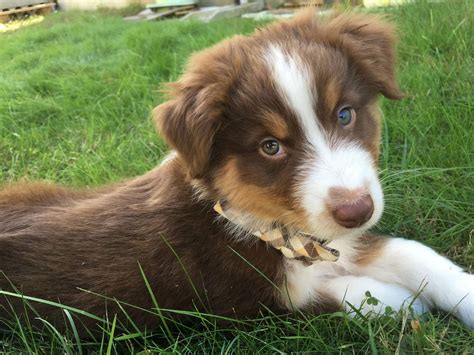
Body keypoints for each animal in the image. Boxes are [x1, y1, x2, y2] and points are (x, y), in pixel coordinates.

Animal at [0, 10, 474, 330]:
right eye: (270, 147)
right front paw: (403, 302)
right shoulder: (244, 304)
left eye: (345, 115)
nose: (357, 211)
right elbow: (337, 296)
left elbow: (415, 254)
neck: (267, 226)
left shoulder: (340, 240)